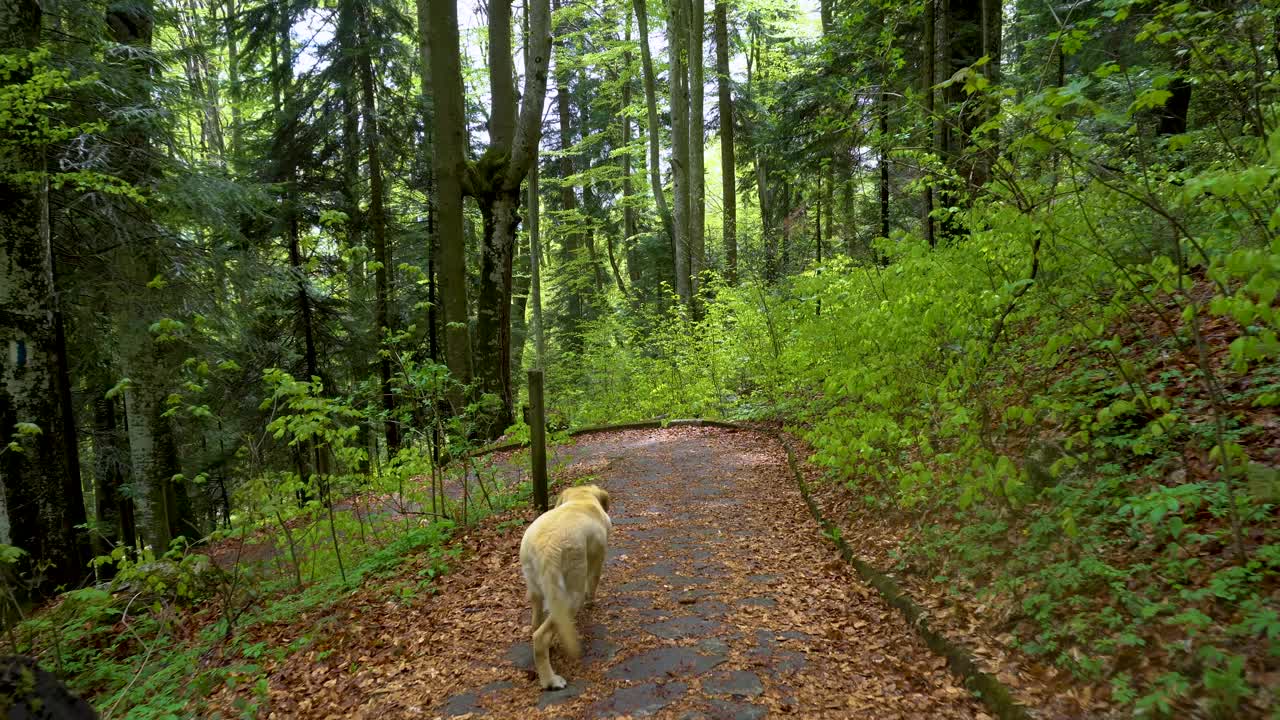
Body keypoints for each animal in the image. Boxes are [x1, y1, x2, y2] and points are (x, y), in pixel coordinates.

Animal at [524, 484, 614, 686]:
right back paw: (551, 681)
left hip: (536, 590)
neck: (581, 500)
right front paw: (592, 603)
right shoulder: (597, 560)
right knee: (541, 637)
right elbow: (593, 584)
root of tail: (546, 548)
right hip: (572, 595)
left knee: (536, 625)